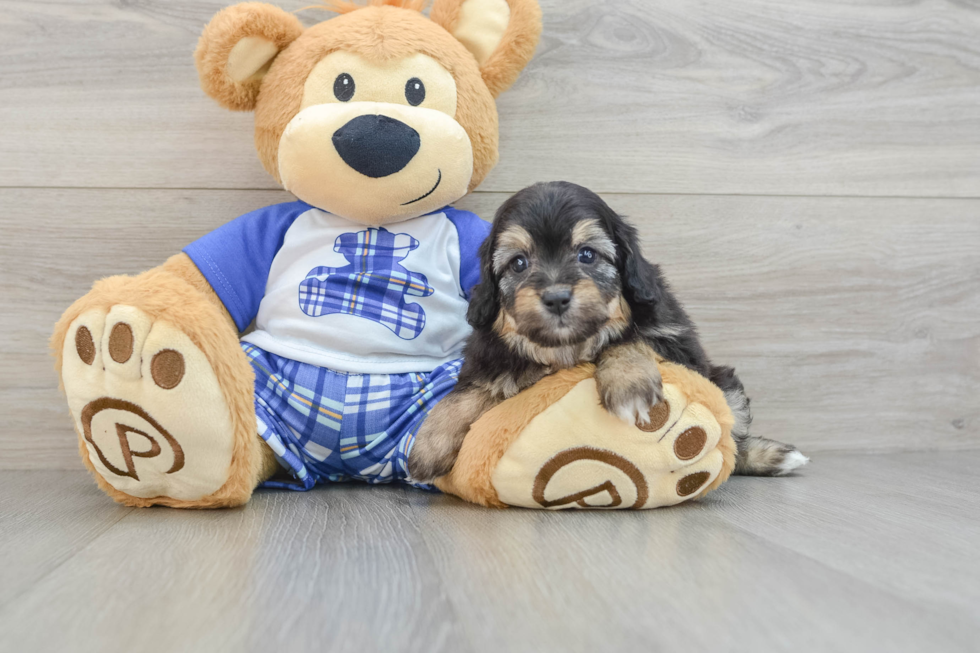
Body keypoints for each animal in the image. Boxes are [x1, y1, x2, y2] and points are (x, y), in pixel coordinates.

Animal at [408, 181, 812, 482]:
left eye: (587, 255)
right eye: (518, 263)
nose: (556, 297)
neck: (567, 349)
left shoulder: (678, 345)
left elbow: (626, 338)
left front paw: (628, 381)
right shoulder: (487, 356)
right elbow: (469, 391)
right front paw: (428, 444)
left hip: (724, 383)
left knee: (733, 443)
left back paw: (770, 457)